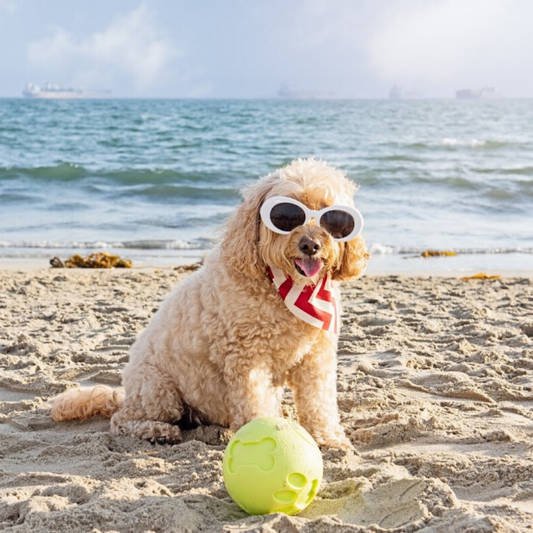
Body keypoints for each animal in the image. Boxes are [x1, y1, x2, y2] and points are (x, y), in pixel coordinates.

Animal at [52, 159, 368, 448]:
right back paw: (157, 431)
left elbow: (319, 403)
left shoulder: (317, 358)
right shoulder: (247, 360)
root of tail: (124, 392)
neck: (286, 288)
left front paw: (328, 439)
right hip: (159, 390)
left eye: (335, 220)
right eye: (286, 216)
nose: (310, 245)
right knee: (122, 420)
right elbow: (254, 404)